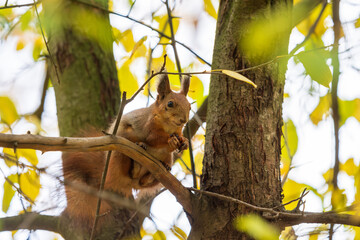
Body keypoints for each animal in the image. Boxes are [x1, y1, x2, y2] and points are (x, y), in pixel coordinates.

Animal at [62, 74, 191, 227]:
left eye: (189, 106)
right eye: (170, 104)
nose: (184, 120)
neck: (169, 126)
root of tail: (125, 183)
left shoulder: (178, 130)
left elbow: (179, 137)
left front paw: (184, 142)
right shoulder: (149, 126)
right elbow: (154, 138)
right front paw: (170, 140)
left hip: (166, 159)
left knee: (144, 182)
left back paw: (159, 170)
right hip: (121, 147)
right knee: (130, 168)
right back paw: (139, 153)